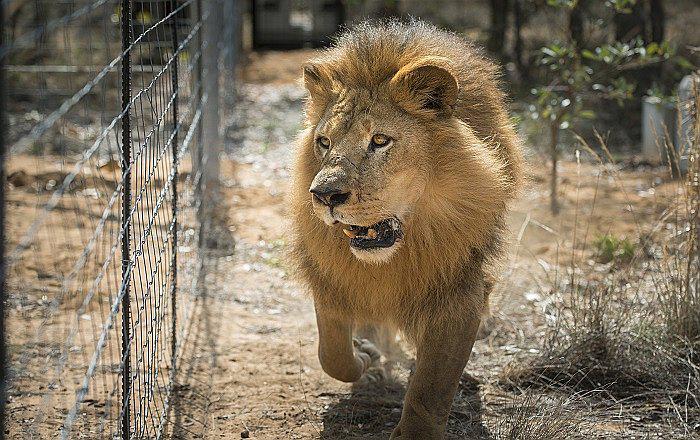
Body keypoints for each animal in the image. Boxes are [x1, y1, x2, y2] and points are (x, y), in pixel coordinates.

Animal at [289, 20, 523, 439]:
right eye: (324, 142)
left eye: (379, 140)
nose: (323, 195)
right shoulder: (333, 279)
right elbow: (332, 354)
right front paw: (364, 356)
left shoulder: (459, 291)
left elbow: (433, 384)